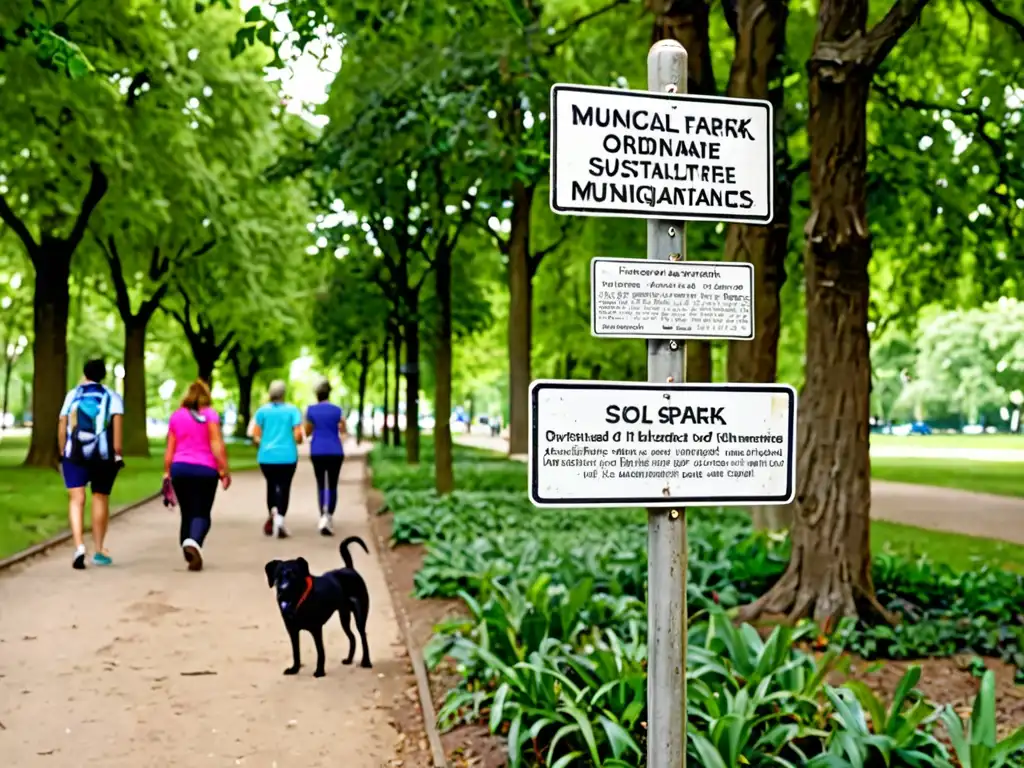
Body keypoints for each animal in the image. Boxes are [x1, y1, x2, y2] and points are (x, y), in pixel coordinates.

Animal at [266, 536, 374, 675]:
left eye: (294, 575)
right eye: (278, 576)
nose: (282, 591)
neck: (299, 601)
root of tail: (350, 568)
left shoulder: (316, 629)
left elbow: (320, 651)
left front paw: (319, 671)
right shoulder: (292, 630)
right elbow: (296, 652)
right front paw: (295, 669)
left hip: (360, 615)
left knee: (362, 636)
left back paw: (366, 661)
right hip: (344, 616)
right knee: (352, 637)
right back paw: (349, 660)